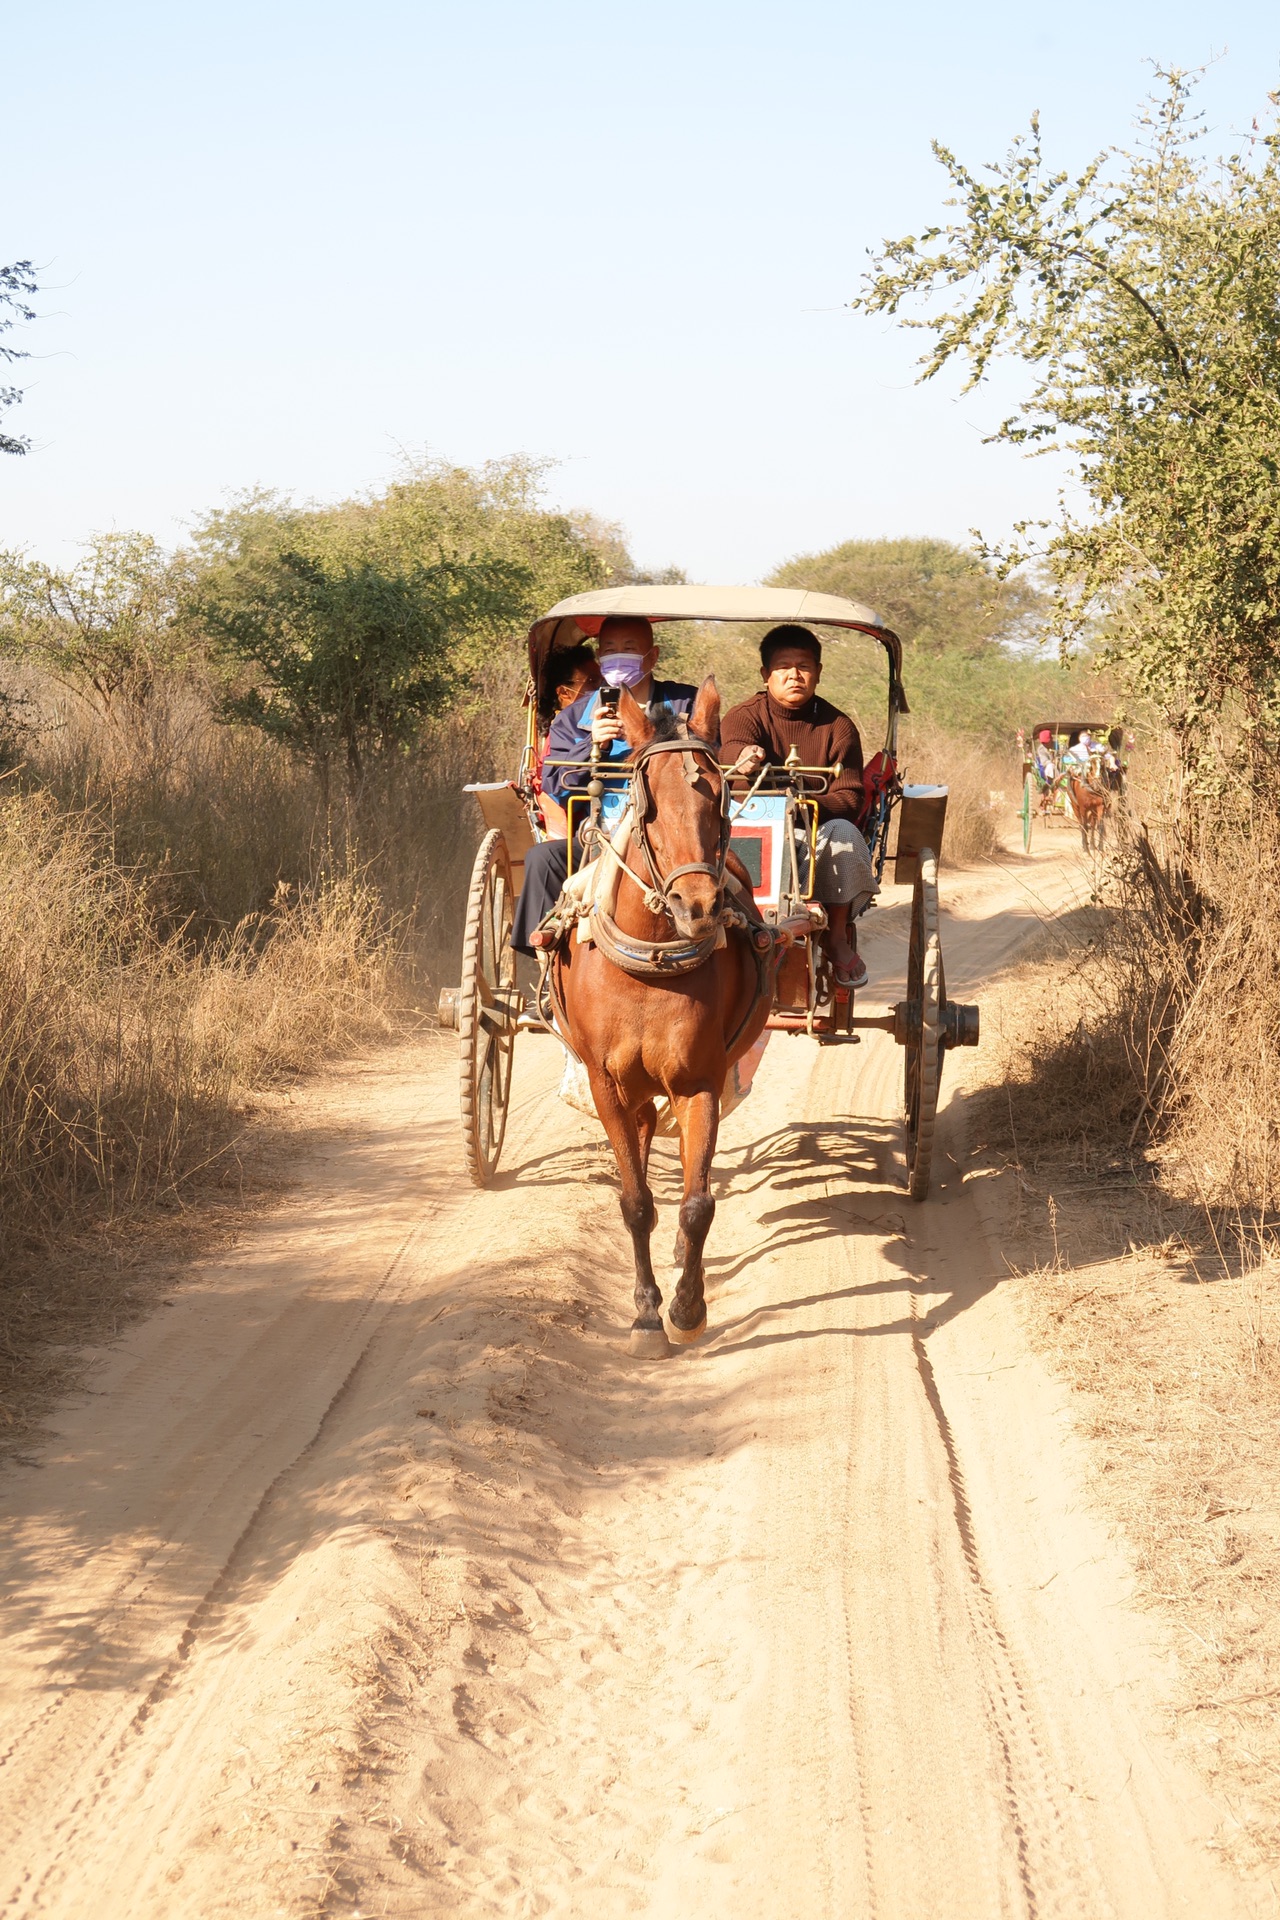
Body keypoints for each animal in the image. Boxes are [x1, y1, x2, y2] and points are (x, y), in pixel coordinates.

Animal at [545, 683, 775, 1359]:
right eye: (646, 808)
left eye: (721, 800)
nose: (697, 907)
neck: (649, 962)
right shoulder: (605, 1084)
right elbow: (635, 1202)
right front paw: (646, 1314)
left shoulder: (699, 1082)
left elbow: (697, 1204)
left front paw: (687, 1308)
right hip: (630, 1088)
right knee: (645, 1148)